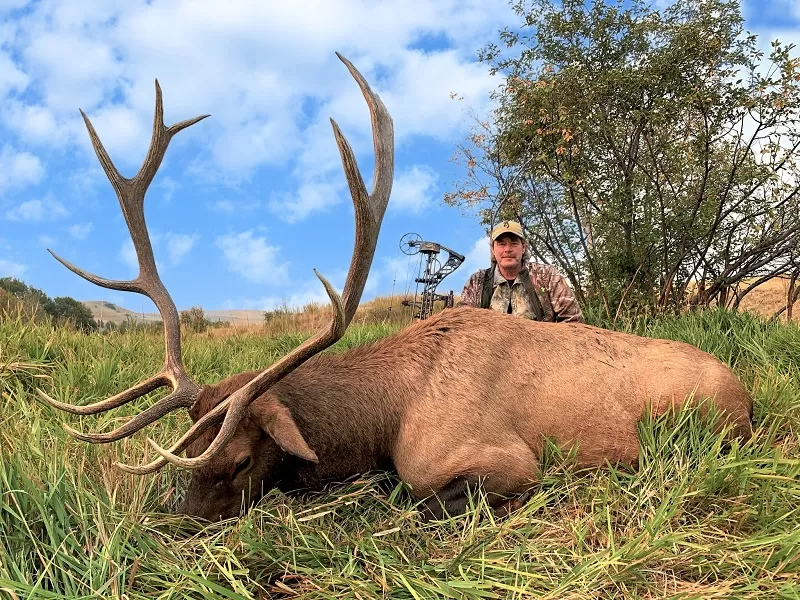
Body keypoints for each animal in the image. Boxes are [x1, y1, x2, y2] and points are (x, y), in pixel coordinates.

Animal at [40, 52, 752, 520]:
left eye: (240, 462)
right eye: (190, 453)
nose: (180, 525)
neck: (386, 414)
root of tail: (747, 396)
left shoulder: (497, 459)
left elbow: (418, 494)